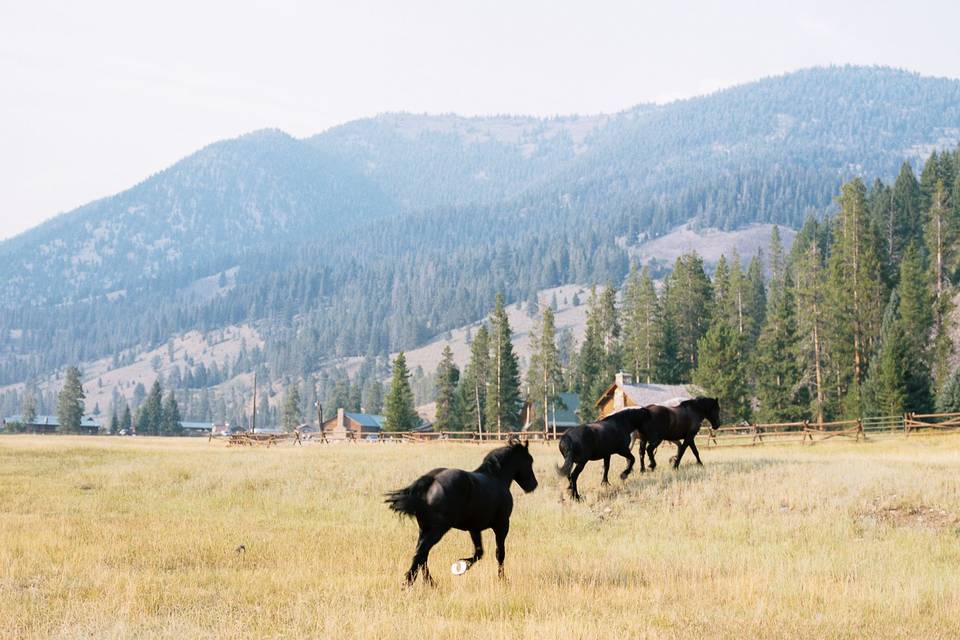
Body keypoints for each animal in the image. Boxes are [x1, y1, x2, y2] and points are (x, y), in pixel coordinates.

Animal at [384, 440, 540, 584]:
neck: (497, 478)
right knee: (421, 553)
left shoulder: (475, 528)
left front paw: (462, 565)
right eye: (529, 461)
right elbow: (499, 553)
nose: (533, 485)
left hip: (424, 529)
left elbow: (479, 552)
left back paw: (430, 582)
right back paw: (409, 583)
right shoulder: (502, 525)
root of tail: (431, 480)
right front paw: (502, 579)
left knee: (422, 554)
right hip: (438, 529)